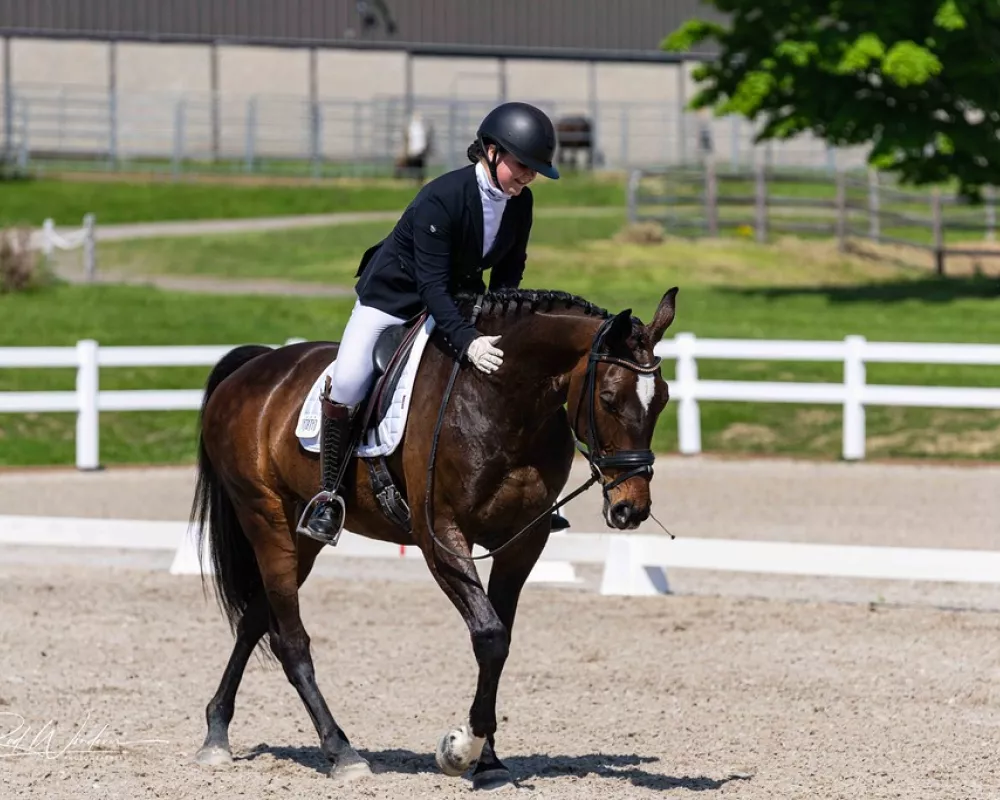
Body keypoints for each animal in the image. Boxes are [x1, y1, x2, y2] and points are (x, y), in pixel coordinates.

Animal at [188, 286, 680, 788]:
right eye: (609, 398)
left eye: (661, 399)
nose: (631, 509)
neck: (505, 400)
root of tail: (254, 366)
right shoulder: (440, 537)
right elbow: (489, 635)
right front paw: (461, 749)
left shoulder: (521, 544)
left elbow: (499, 641)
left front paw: (488, 761)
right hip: (265, 517)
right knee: (289, 641)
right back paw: (342, 752)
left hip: (300, 535)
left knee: (255, 621)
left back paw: (217, 733)